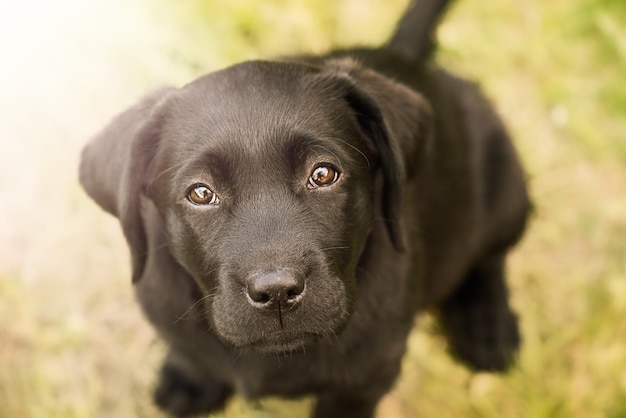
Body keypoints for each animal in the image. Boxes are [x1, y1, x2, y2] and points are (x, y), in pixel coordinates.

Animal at [78, 1, 528, 416]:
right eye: (201, 194)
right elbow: (195, 356)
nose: (277, 292)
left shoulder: (365, 379)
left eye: (323, 174)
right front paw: (189, 379)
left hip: (507, 185)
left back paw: (487, 325)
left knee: (491, 254)